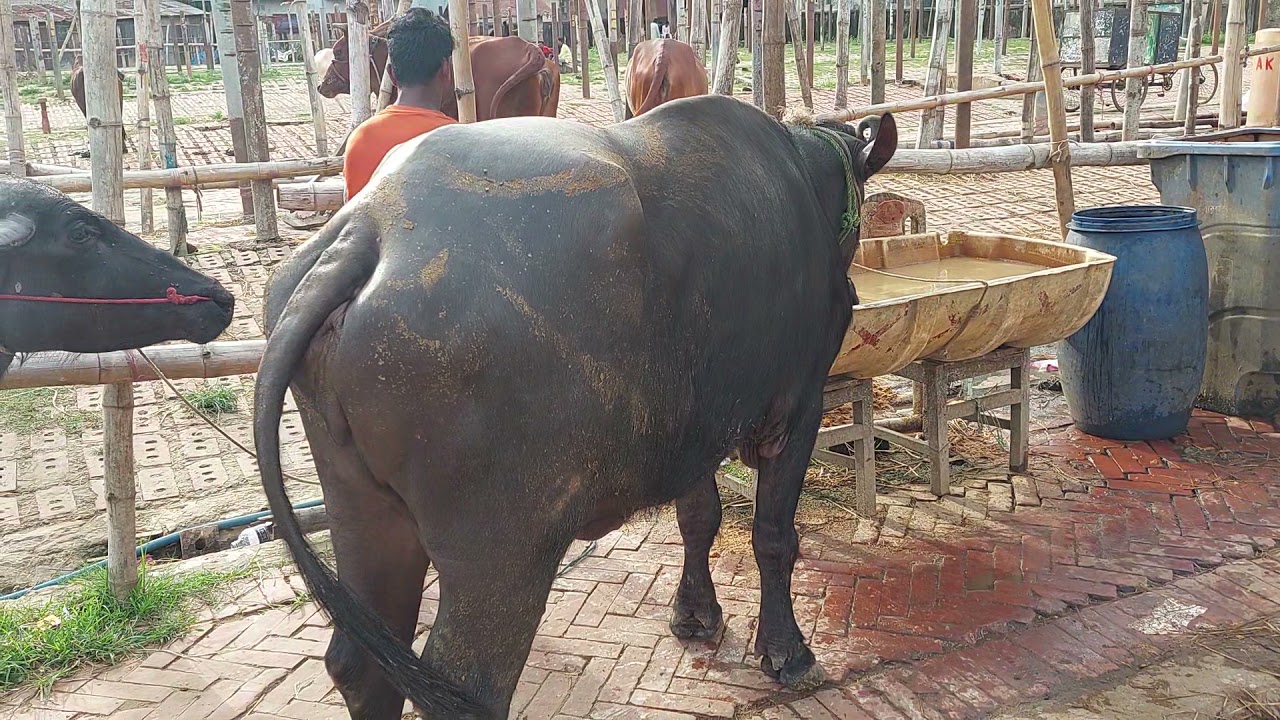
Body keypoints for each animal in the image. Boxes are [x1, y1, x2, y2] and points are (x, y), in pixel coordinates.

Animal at [253, 94, 897, 719]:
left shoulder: (696, 428)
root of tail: (371, 229)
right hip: (503, 557)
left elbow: (699, 517)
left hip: (363, 509)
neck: (801, 185)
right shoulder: (797, 409)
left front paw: (694, 613)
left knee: (363, 667)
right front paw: (787, 651)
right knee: (465, 688)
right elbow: (774, 536)